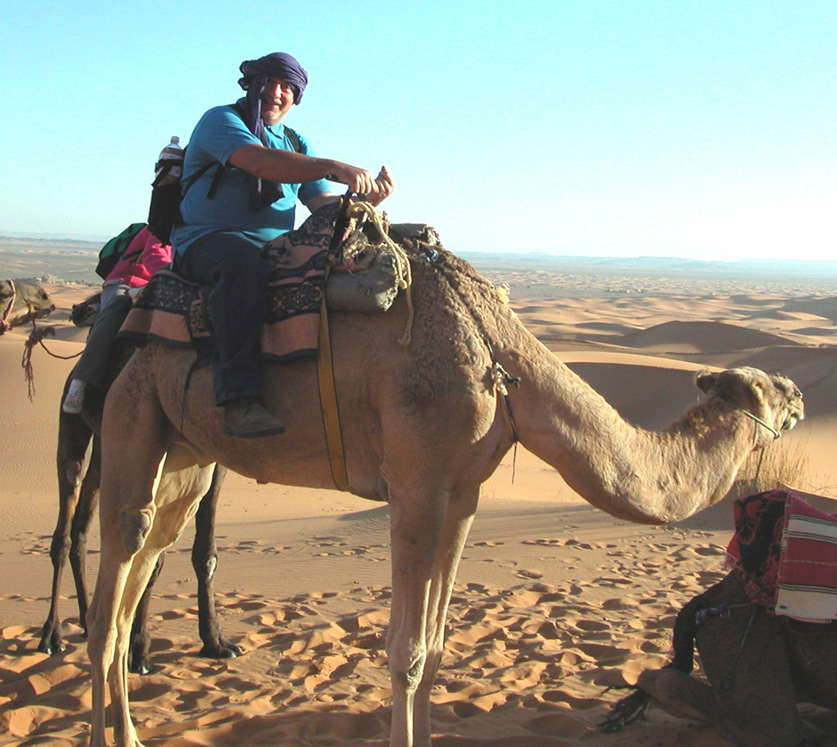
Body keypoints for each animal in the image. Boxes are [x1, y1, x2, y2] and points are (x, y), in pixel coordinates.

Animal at [83, 205, 804, 747]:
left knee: (148, 557)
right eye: (770, 389)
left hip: (186, 454)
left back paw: (131, 732)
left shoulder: (462, 495)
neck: (503, 361)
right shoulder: (416, 484)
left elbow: (432, 648)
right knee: (109, 590)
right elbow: (402, 648)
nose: (798, 394)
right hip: (129, 416)